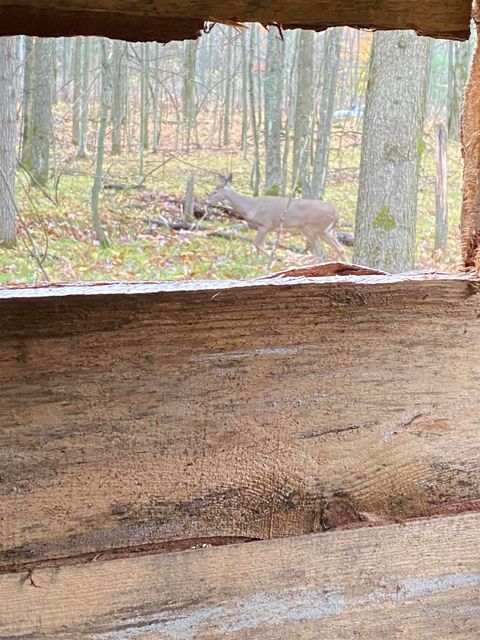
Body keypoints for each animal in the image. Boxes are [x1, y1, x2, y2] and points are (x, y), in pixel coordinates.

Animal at [206, 178, 344, 260]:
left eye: (215, 191)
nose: (206, 201)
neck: (249, 207)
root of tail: (336, 213)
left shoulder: (265, 224)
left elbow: (256, 243)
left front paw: (271, 259)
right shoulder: (265, 228)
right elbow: (258, 244)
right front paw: (257, 261)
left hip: (314, 229)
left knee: (321, 253)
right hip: (326, 231)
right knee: (339, 249)